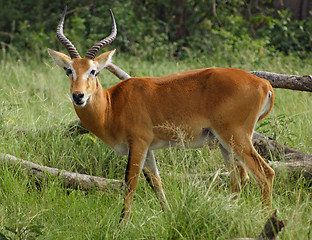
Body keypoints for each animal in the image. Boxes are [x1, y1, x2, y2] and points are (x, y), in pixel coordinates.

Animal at [47, 7, 274, 221]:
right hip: (224, 143)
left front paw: (121, 226)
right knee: (239, 178)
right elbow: (156, 182)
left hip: (236, 137)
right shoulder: (148, 149)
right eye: (69, 70)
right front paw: (169, 216)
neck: (112, 105)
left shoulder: (138, 143)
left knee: (265, 174)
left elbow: (130, 183)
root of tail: (264, 84)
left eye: (93, 71)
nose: (78, 96)